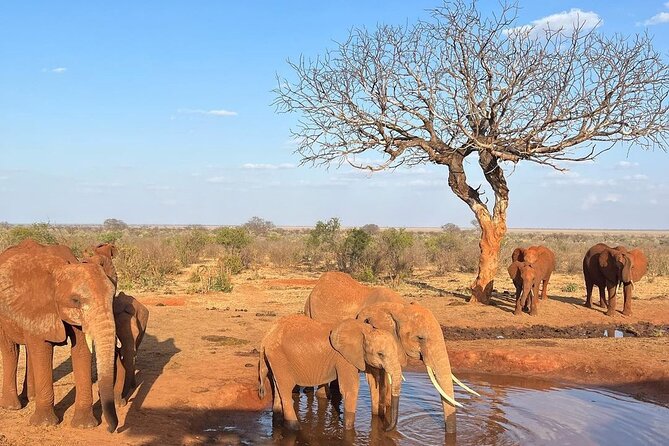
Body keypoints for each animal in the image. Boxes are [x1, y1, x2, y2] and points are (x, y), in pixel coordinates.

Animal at [0, 240, 118, 432]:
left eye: (113, 296)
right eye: (76, 300)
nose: (111, 429)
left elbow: (81, 351)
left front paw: (84, 426)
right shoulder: (38, 306)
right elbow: (42, 350)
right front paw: (44, 424)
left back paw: (31, 398)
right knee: (11, 350)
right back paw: (12, 406)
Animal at [258, 315, 403, 431]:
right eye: (381, 354)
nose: (385, 428)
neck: (366, 330)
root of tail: (266, 337)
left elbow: (372, 383)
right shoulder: (344, 359)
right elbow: (350, 389)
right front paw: (348, 430)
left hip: (275, 360)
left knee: (278, 388)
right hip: (279, 358)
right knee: (285, 389)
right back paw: (295, 428)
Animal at [304, 272, 477, 434]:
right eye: (420, 338)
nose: (449, 432)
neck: (400, 308)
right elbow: (374, 376)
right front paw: (377, 417)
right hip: (309, 312)